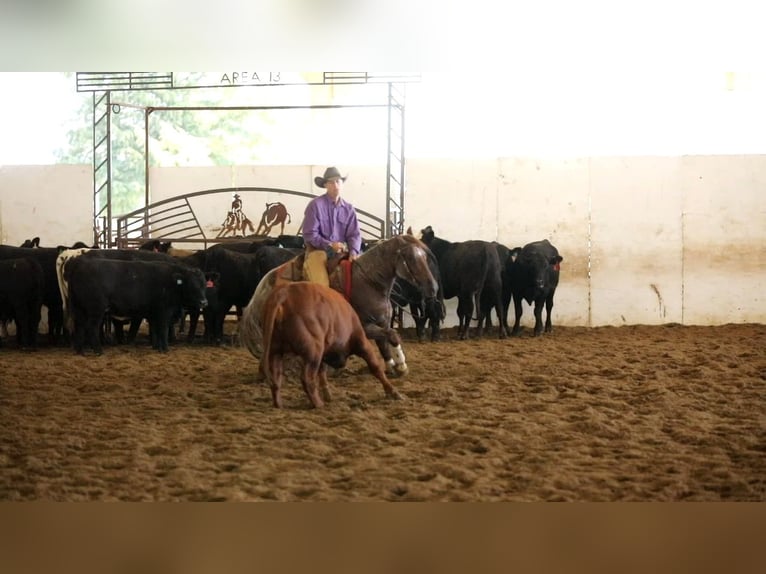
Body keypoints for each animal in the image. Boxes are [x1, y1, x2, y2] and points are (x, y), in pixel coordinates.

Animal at [240, 234, 439, 379]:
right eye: (411, 258)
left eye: (424, 256)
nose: (433, 287)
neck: (367, 281)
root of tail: (260, 291)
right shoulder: (364, 327)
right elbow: (393, 335)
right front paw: (402, 365)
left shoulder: (381, 322)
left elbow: (385, 343)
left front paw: (392, 367)